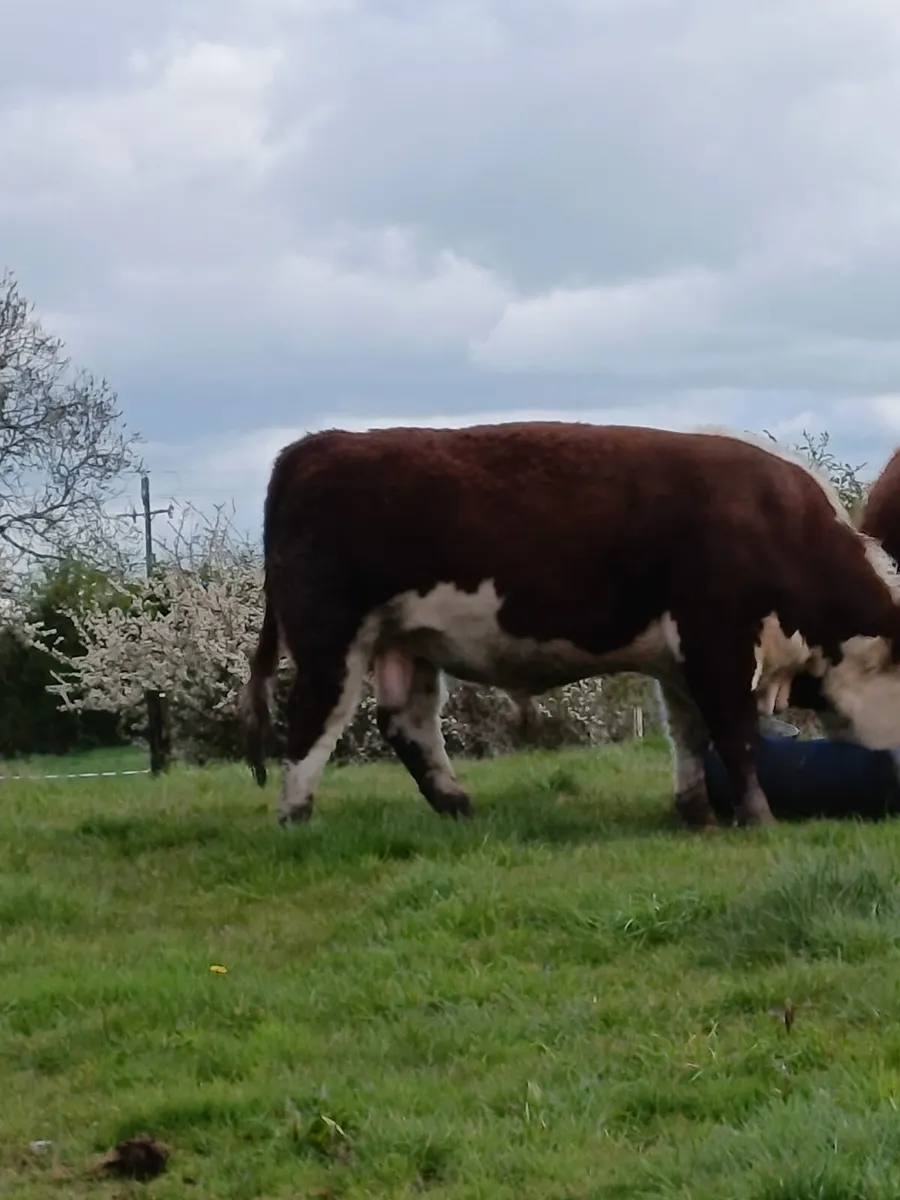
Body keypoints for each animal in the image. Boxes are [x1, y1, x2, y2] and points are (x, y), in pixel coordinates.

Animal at [239, 421, 900, 831]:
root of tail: (315, 446)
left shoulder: (680, 661)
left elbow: (691, 737)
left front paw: (698, 814)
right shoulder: (717, 643)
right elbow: (736, 738)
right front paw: (758, 820)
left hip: (408, 642)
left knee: (409, 724)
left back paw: (459, 807)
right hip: (331, 638)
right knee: (313, 722)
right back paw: (295, 817)